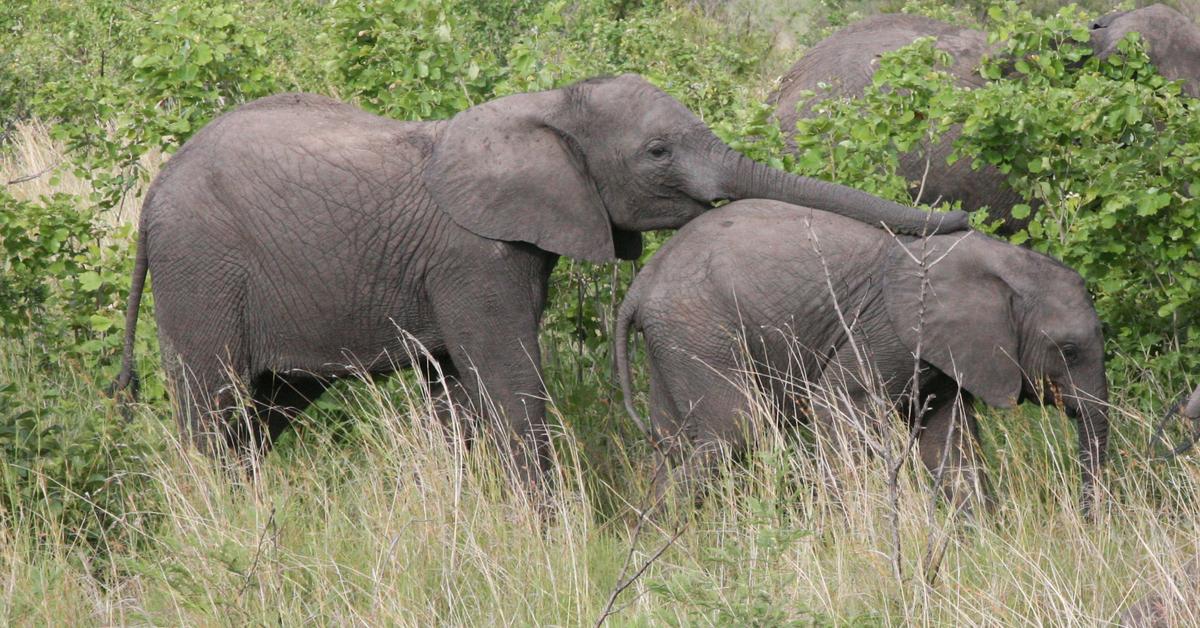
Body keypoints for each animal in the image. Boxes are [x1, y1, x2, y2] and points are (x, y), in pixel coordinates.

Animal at [114, 75, 964, 492]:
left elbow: (460, 395)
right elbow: (507, 381)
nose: (959, 222)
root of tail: (151, 200)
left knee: (260, 412)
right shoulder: (477, 256)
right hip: (202, 270)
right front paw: (553, 533)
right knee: (213, 401)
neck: (544, 107)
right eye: (657, 152)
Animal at [614, 199, 1108, 513]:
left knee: (676, 445)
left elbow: (949, 439)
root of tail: (639, 286)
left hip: (674, 341)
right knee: (737, 431)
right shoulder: (887, 330)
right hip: (698, 329)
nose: (1089, 524)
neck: (1002, 261)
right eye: (1067, 350)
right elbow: (838, 404)